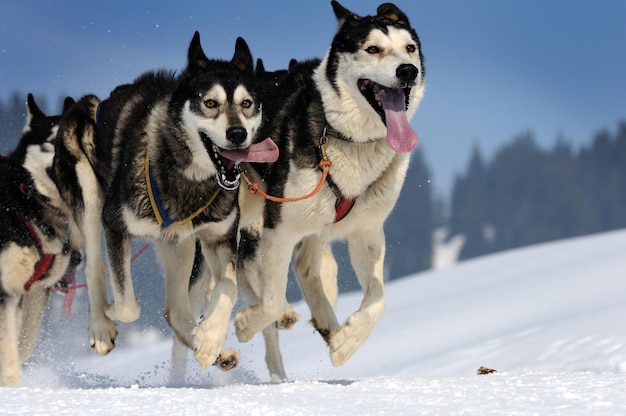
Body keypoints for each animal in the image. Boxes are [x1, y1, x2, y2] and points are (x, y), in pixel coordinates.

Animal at [53, 33, 278, 370]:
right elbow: (127, 305)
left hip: (180, 244)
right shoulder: (115, 225)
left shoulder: (219, 238)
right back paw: (101, 327)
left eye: (247, 104)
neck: (188, 175)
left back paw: (212, 348)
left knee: (175, 310)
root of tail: (89, 103)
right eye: (209, 103)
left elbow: (228, 287)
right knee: (94, 266)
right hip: (91, 202)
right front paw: (111, 312)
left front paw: (209, 337)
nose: (237, 133)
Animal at [234, 0, 424, 376]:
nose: (408, 71)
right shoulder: (280, 227)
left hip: (318, 223)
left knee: (306, 268)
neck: (349, 139)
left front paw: (346, 341)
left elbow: (379, 297)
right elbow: (271, 300)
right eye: (373, 49)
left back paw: (328, 324)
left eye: (410, 48)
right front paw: (246, 324)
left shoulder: (367, 231)